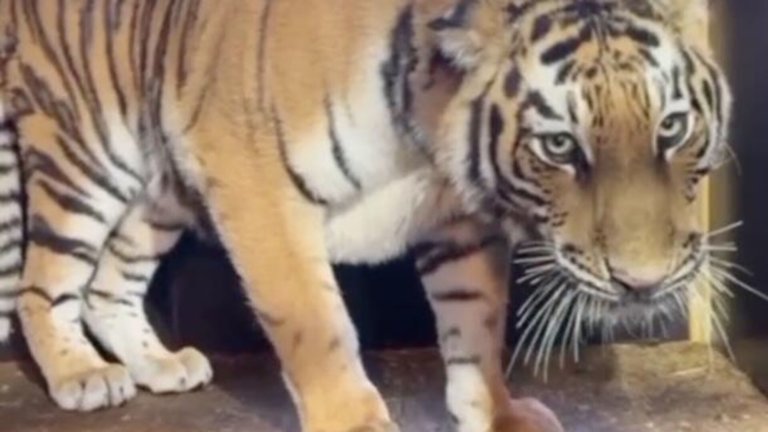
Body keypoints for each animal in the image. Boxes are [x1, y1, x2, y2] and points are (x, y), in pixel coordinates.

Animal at [0, 0, 732, 431]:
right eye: (559, 145)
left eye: (671, 127)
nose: (643, 283)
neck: (429, 131)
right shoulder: (257, 186)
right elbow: (317, 325)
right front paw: (354, 420)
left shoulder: (460, 222)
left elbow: (476, 323)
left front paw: (495, 413)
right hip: (83, 158)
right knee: (43, 285)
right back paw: (82, 376)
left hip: (158, 194)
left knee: (107, 285)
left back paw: (159, 365)